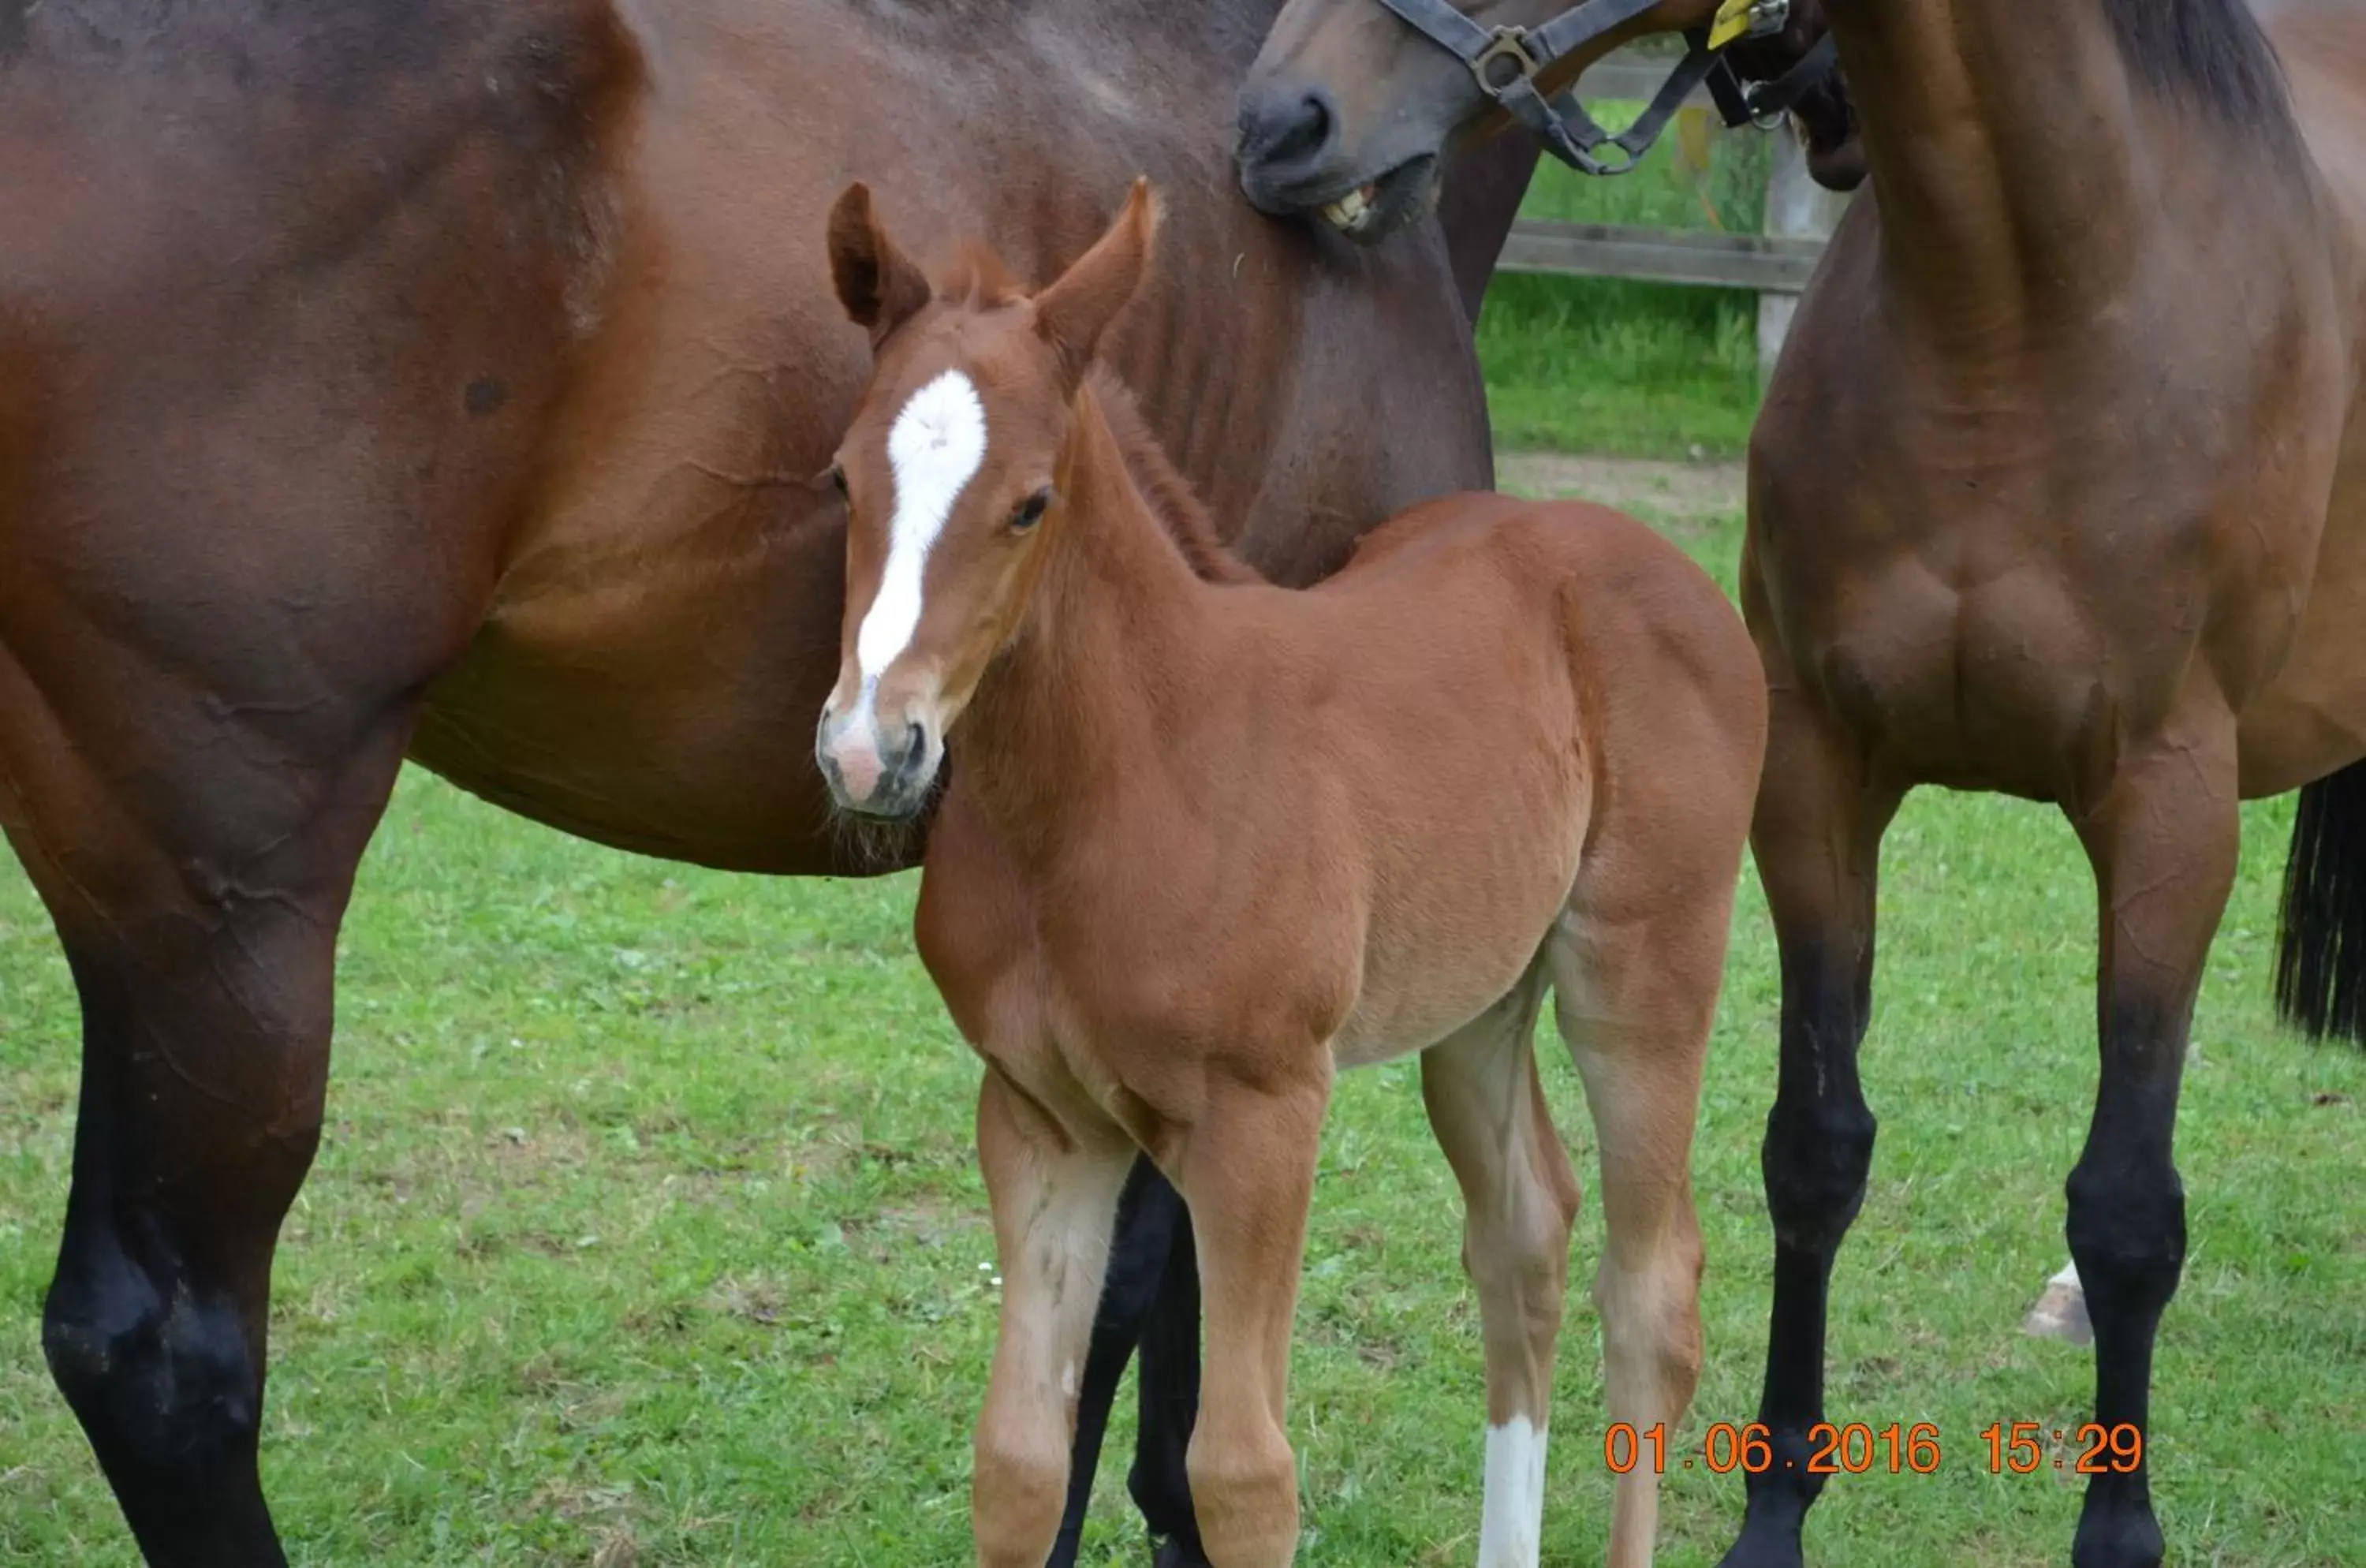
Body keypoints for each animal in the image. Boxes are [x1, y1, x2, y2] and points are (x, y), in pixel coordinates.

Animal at [0, 6, 1543, 1561]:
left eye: (1025, 502)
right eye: (846, 483)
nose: (1299, 131)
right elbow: (1145, 1279)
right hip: (226, 896)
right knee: (162, 1346)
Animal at [823, 177, 1770, 1561]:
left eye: (1032, 502)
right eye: (843, 479)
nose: (868, 748)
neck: (1121, 778)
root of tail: (1656, 562)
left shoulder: (1264, 1115)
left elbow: (1242, 1477)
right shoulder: (1041, 1116)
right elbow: (1019, 1462)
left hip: (1644, 975)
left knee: (1652, 1296)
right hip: (1480, 1000)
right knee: (1524, 1239)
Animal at [1240, 2, 2366, 1568]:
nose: (1281, 121)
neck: (2021, 318)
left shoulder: (2172, 813)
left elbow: (2131, 1201)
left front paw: (2117, 1526)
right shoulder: (1822, 782)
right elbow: (1814, 1151)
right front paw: (1773, 1507)